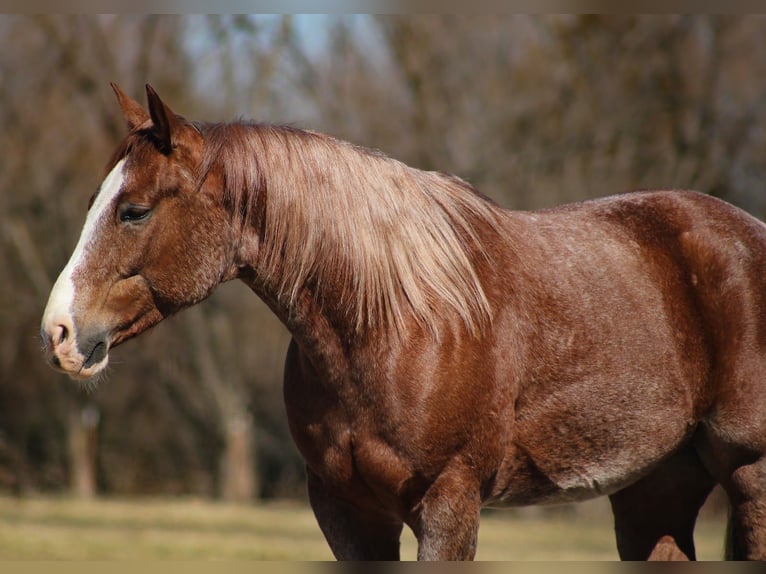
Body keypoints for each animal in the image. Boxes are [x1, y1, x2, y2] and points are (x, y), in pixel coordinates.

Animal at [41, 84, 766, 561]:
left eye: (133, 210)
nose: (59, 333)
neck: (395, 328)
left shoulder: (448, 506)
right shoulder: (349, 515)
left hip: (748, 474)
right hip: (655, 492)